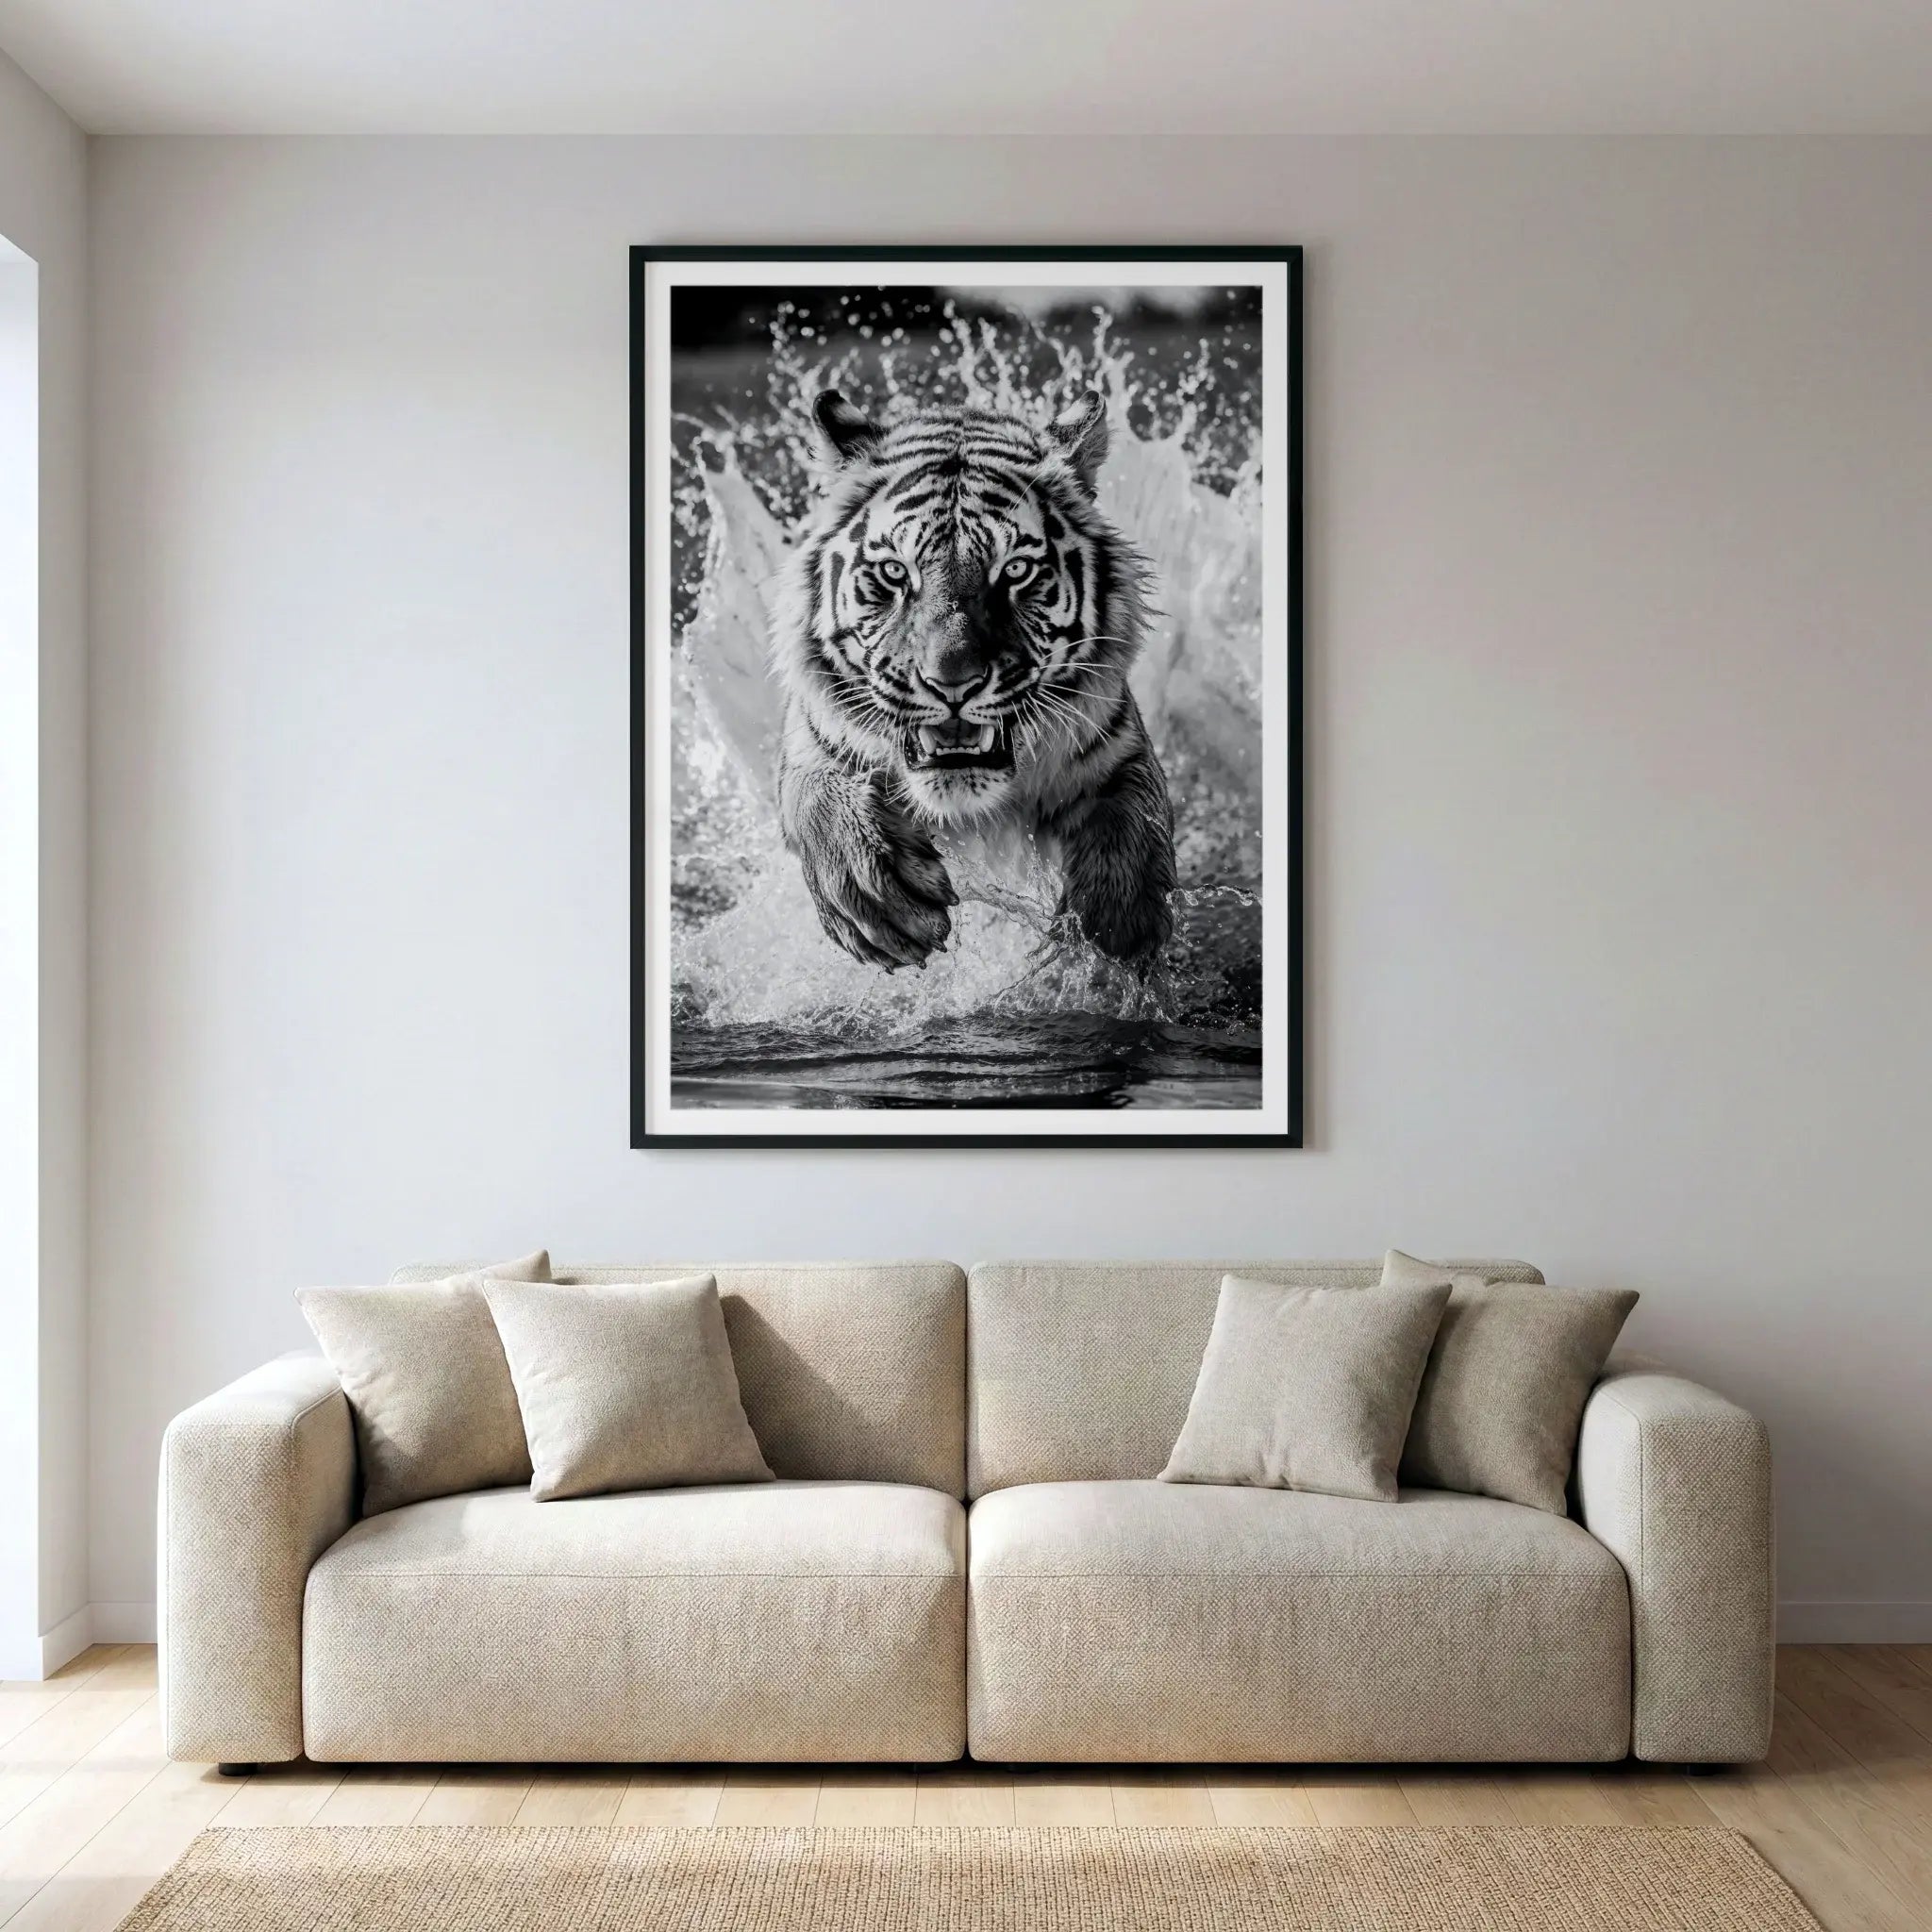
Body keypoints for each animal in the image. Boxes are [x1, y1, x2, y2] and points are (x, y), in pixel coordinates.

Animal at [771, 385, 1176, 973]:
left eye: (1015, 570)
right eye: (895, 572)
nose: (952, 683)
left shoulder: (1116, 746)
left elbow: (1132, 814)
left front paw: (1113, 929)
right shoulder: (813, 741)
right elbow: (817, 799)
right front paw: (879, 898)